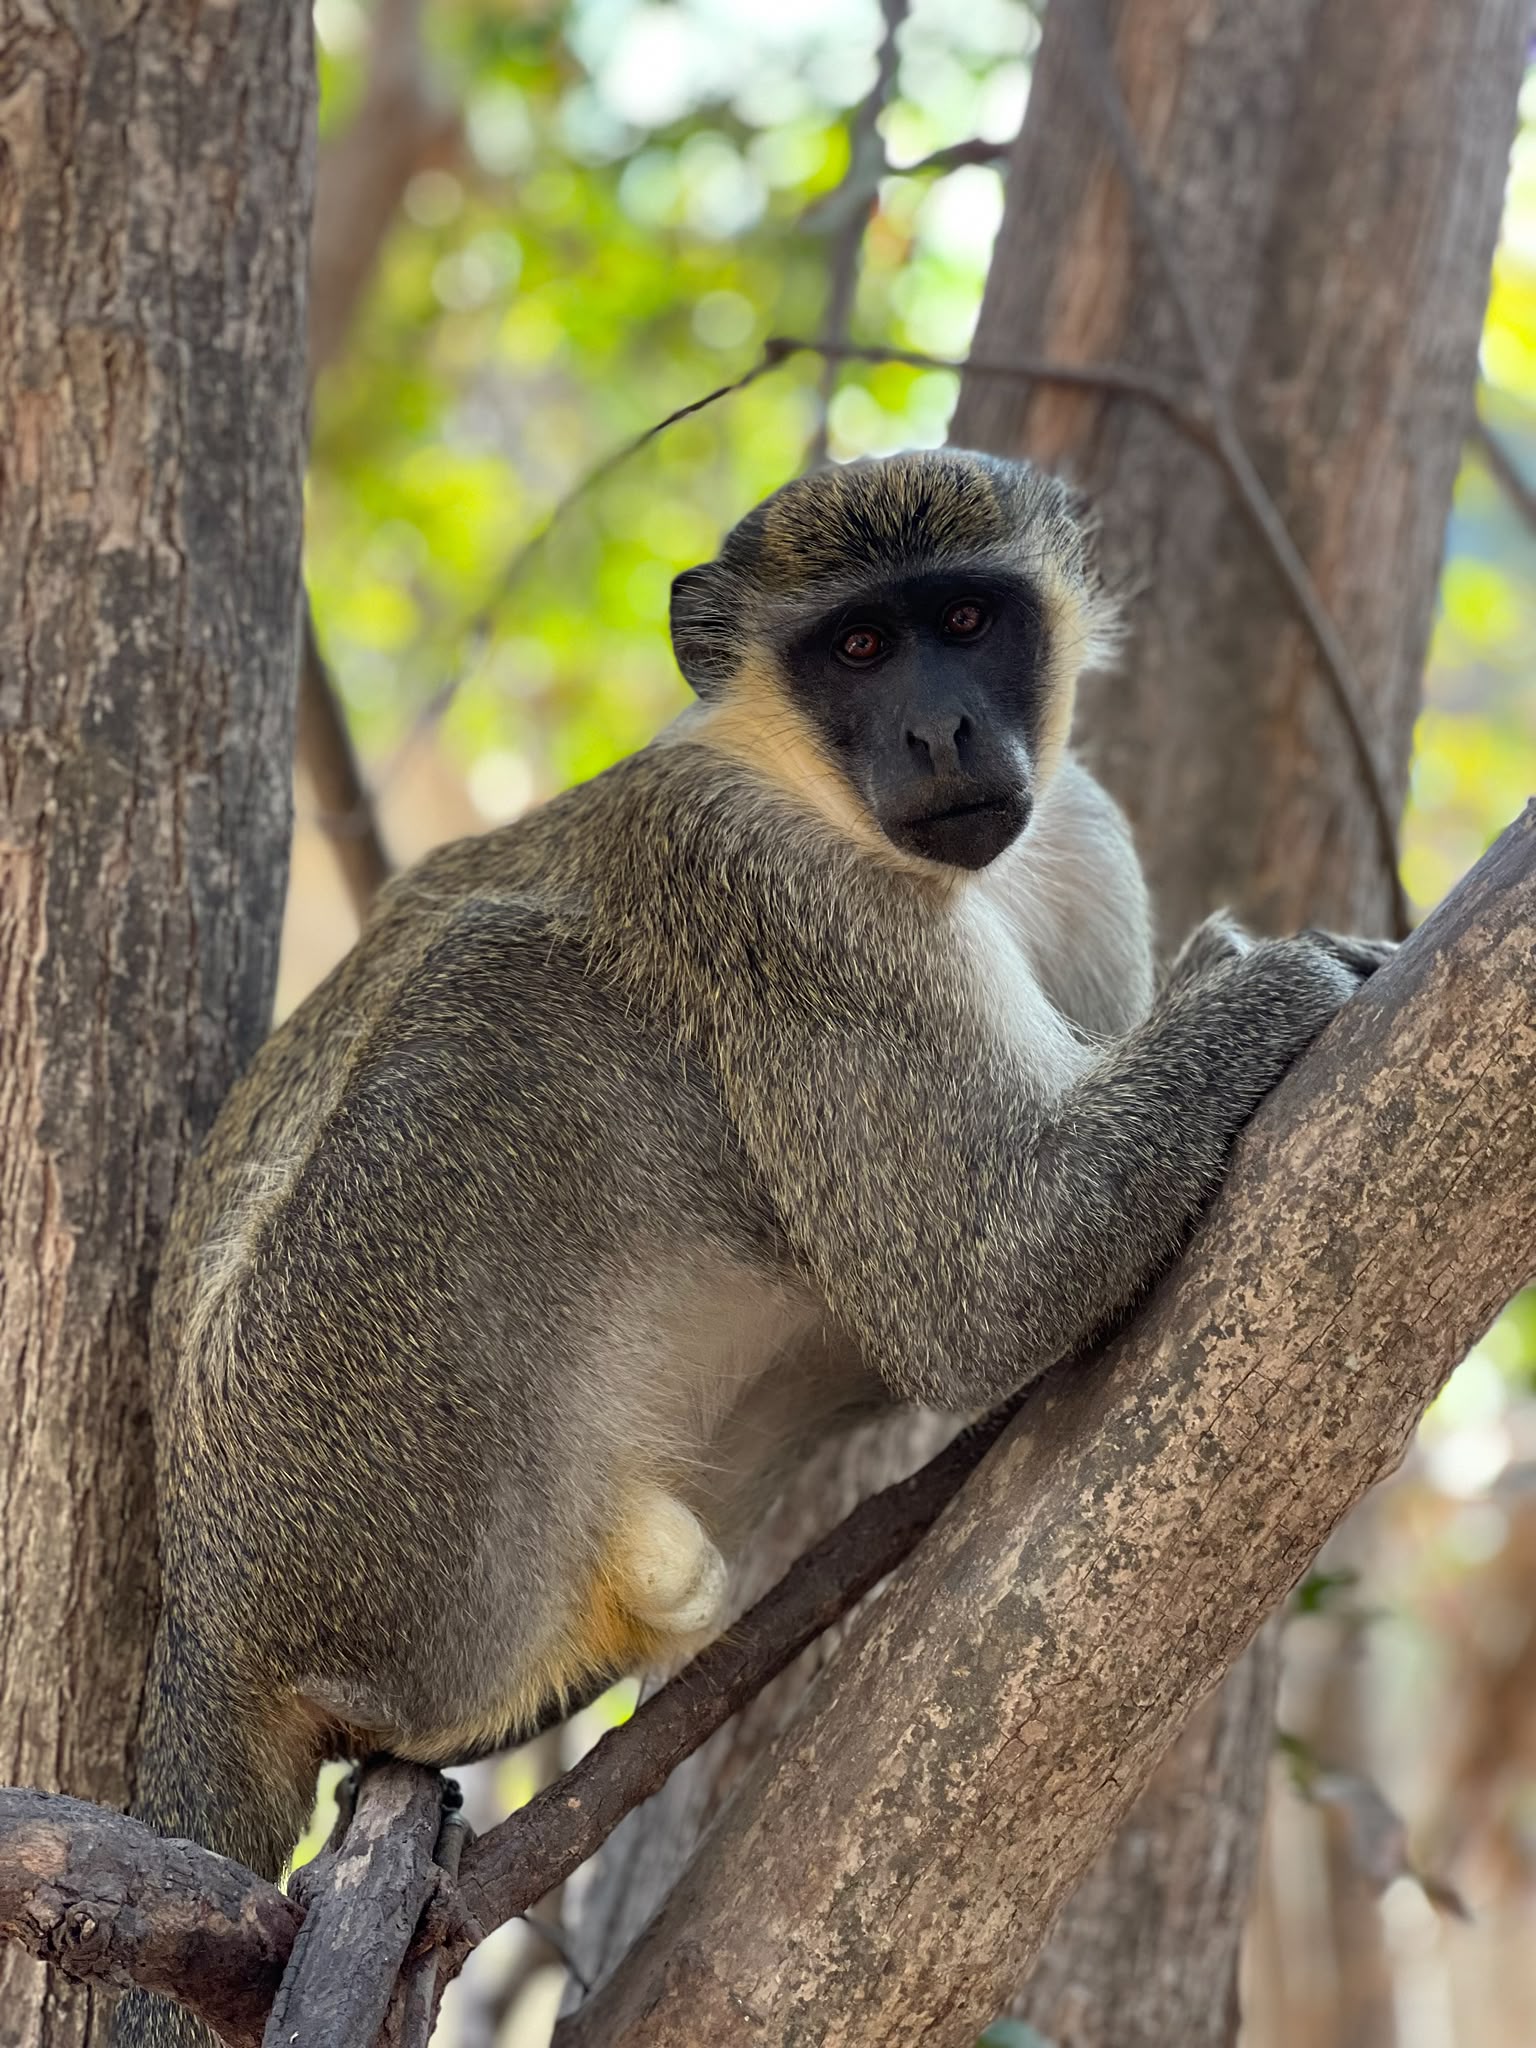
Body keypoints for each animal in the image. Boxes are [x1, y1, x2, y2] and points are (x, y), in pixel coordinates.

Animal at [115, 449, 1391, 2046]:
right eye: (858, 647)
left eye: (965, 620)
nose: (939, 725)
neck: (810, 783)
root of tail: (205, 1608)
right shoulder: (758, 881)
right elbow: (987, 1286)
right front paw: (1283, 971)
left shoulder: (1086, 836)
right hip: (353, 1468)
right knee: (501, 981)